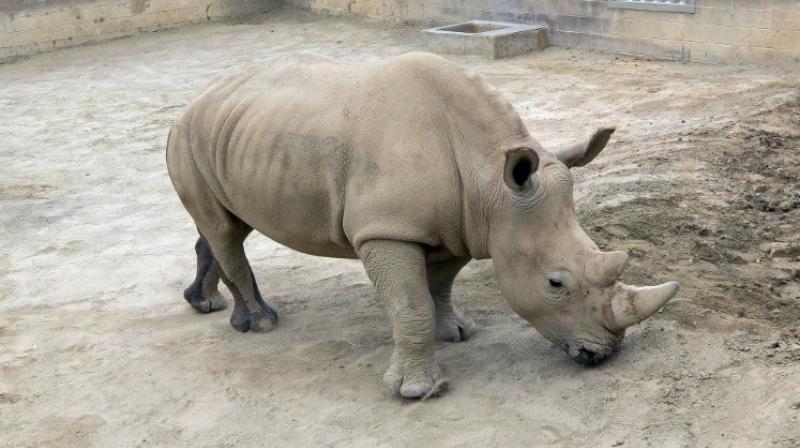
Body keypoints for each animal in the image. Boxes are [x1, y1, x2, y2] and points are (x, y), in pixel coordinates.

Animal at [166, 52, 680, 400]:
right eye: (556, 283)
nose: (604, 354)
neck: (489, 176)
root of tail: (194, 100)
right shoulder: (386, 229)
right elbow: (410, 304)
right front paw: (417, 391)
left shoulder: (461, 223)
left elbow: (440, 285)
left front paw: (455, 332)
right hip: (190, 136)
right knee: (224, 230)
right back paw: (260, 324)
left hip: (238, 135)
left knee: (225, 225)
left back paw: (206, 306)